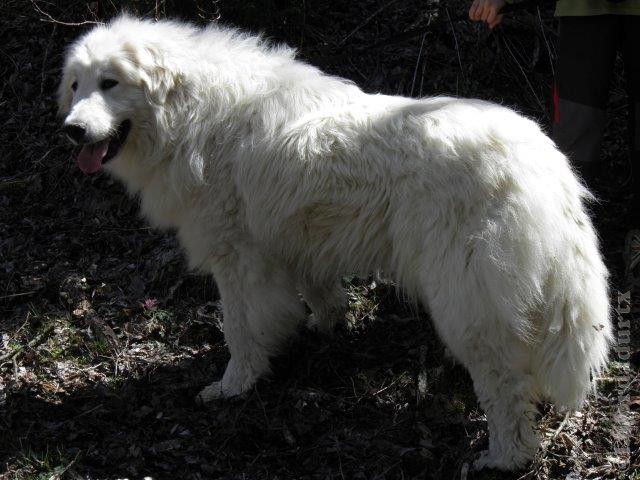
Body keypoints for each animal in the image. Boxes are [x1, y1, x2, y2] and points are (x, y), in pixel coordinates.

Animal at [58, 15, 608, 472]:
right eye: (76, 84)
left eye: (110, 83)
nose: (72, 130)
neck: (190, 113)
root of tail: (542, 161)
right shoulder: (297, 243)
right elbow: (319, 295)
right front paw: (325, 328)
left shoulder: (238, 260)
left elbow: (240, 331)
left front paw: (234, 387)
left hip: (466, 302)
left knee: (505, 386)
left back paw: (504, 457)